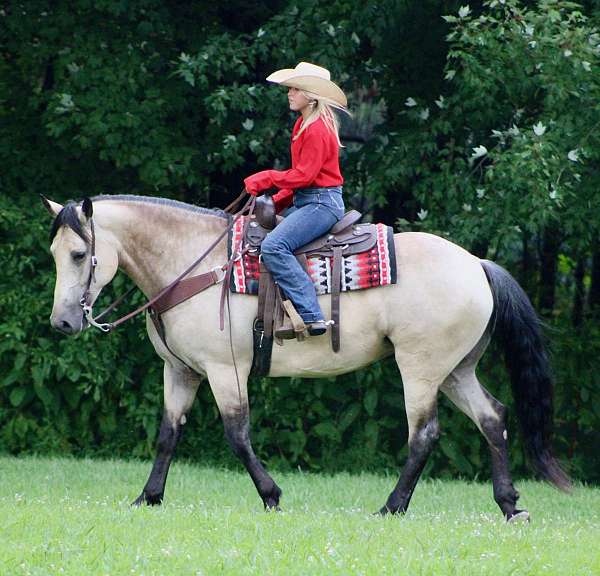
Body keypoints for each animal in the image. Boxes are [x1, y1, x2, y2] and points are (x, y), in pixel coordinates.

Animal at [43, 195, 572, 520]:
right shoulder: (180, 372)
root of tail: (477, 265)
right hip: (455, 370)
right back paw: (510, 505)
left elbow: (237, 434)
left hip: (420, 369)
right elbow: (168, 435)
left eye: (78, 255)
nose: (63, 322)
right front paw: (148, 498)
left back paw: (392, 507)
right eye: (53, 253)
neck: (196, 265)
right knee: (493, 418)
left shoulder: (224, 370)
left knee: (424, 433)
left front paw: (272, 496)